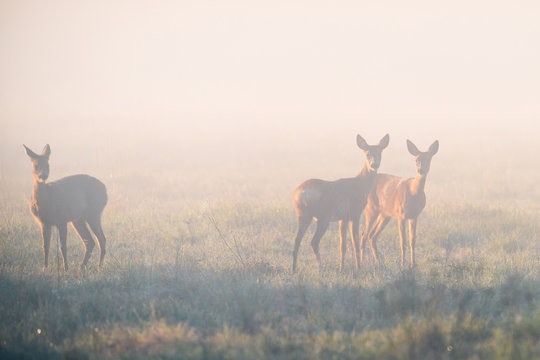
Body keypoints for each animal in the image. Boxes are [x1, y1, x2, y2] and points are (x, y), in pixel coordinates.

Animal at [294, 134, 390, 272]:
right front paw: (358, 267)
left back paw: (294, 269)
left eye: (379, 153)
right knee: (314, 242)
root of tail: (301, 193)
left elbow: (342, 245)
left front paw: (341, 267)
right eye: (367, 154)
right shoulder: (354, 214)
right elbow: (355, 242)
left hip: (303, 215)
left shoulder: (342, 218)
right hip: (323, 217)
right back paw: (320, 269)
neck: (361, 185)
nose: (374, 164)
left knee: (297, 240)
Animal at [358, 140, 438, 268]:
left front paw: (413, 264)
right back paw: (362, 263)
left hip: (385, 214)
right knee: (364, 234)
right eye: (416, 160)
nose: (421, 170)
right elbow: (402, 241)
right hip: (371, 209)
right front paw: (402, 264)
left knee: (372, 235)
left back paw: (379, 262)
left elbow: (412, 241)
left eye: (429, 159)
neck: (413, 192)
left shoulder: (414, 216)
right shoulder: (401, 214)